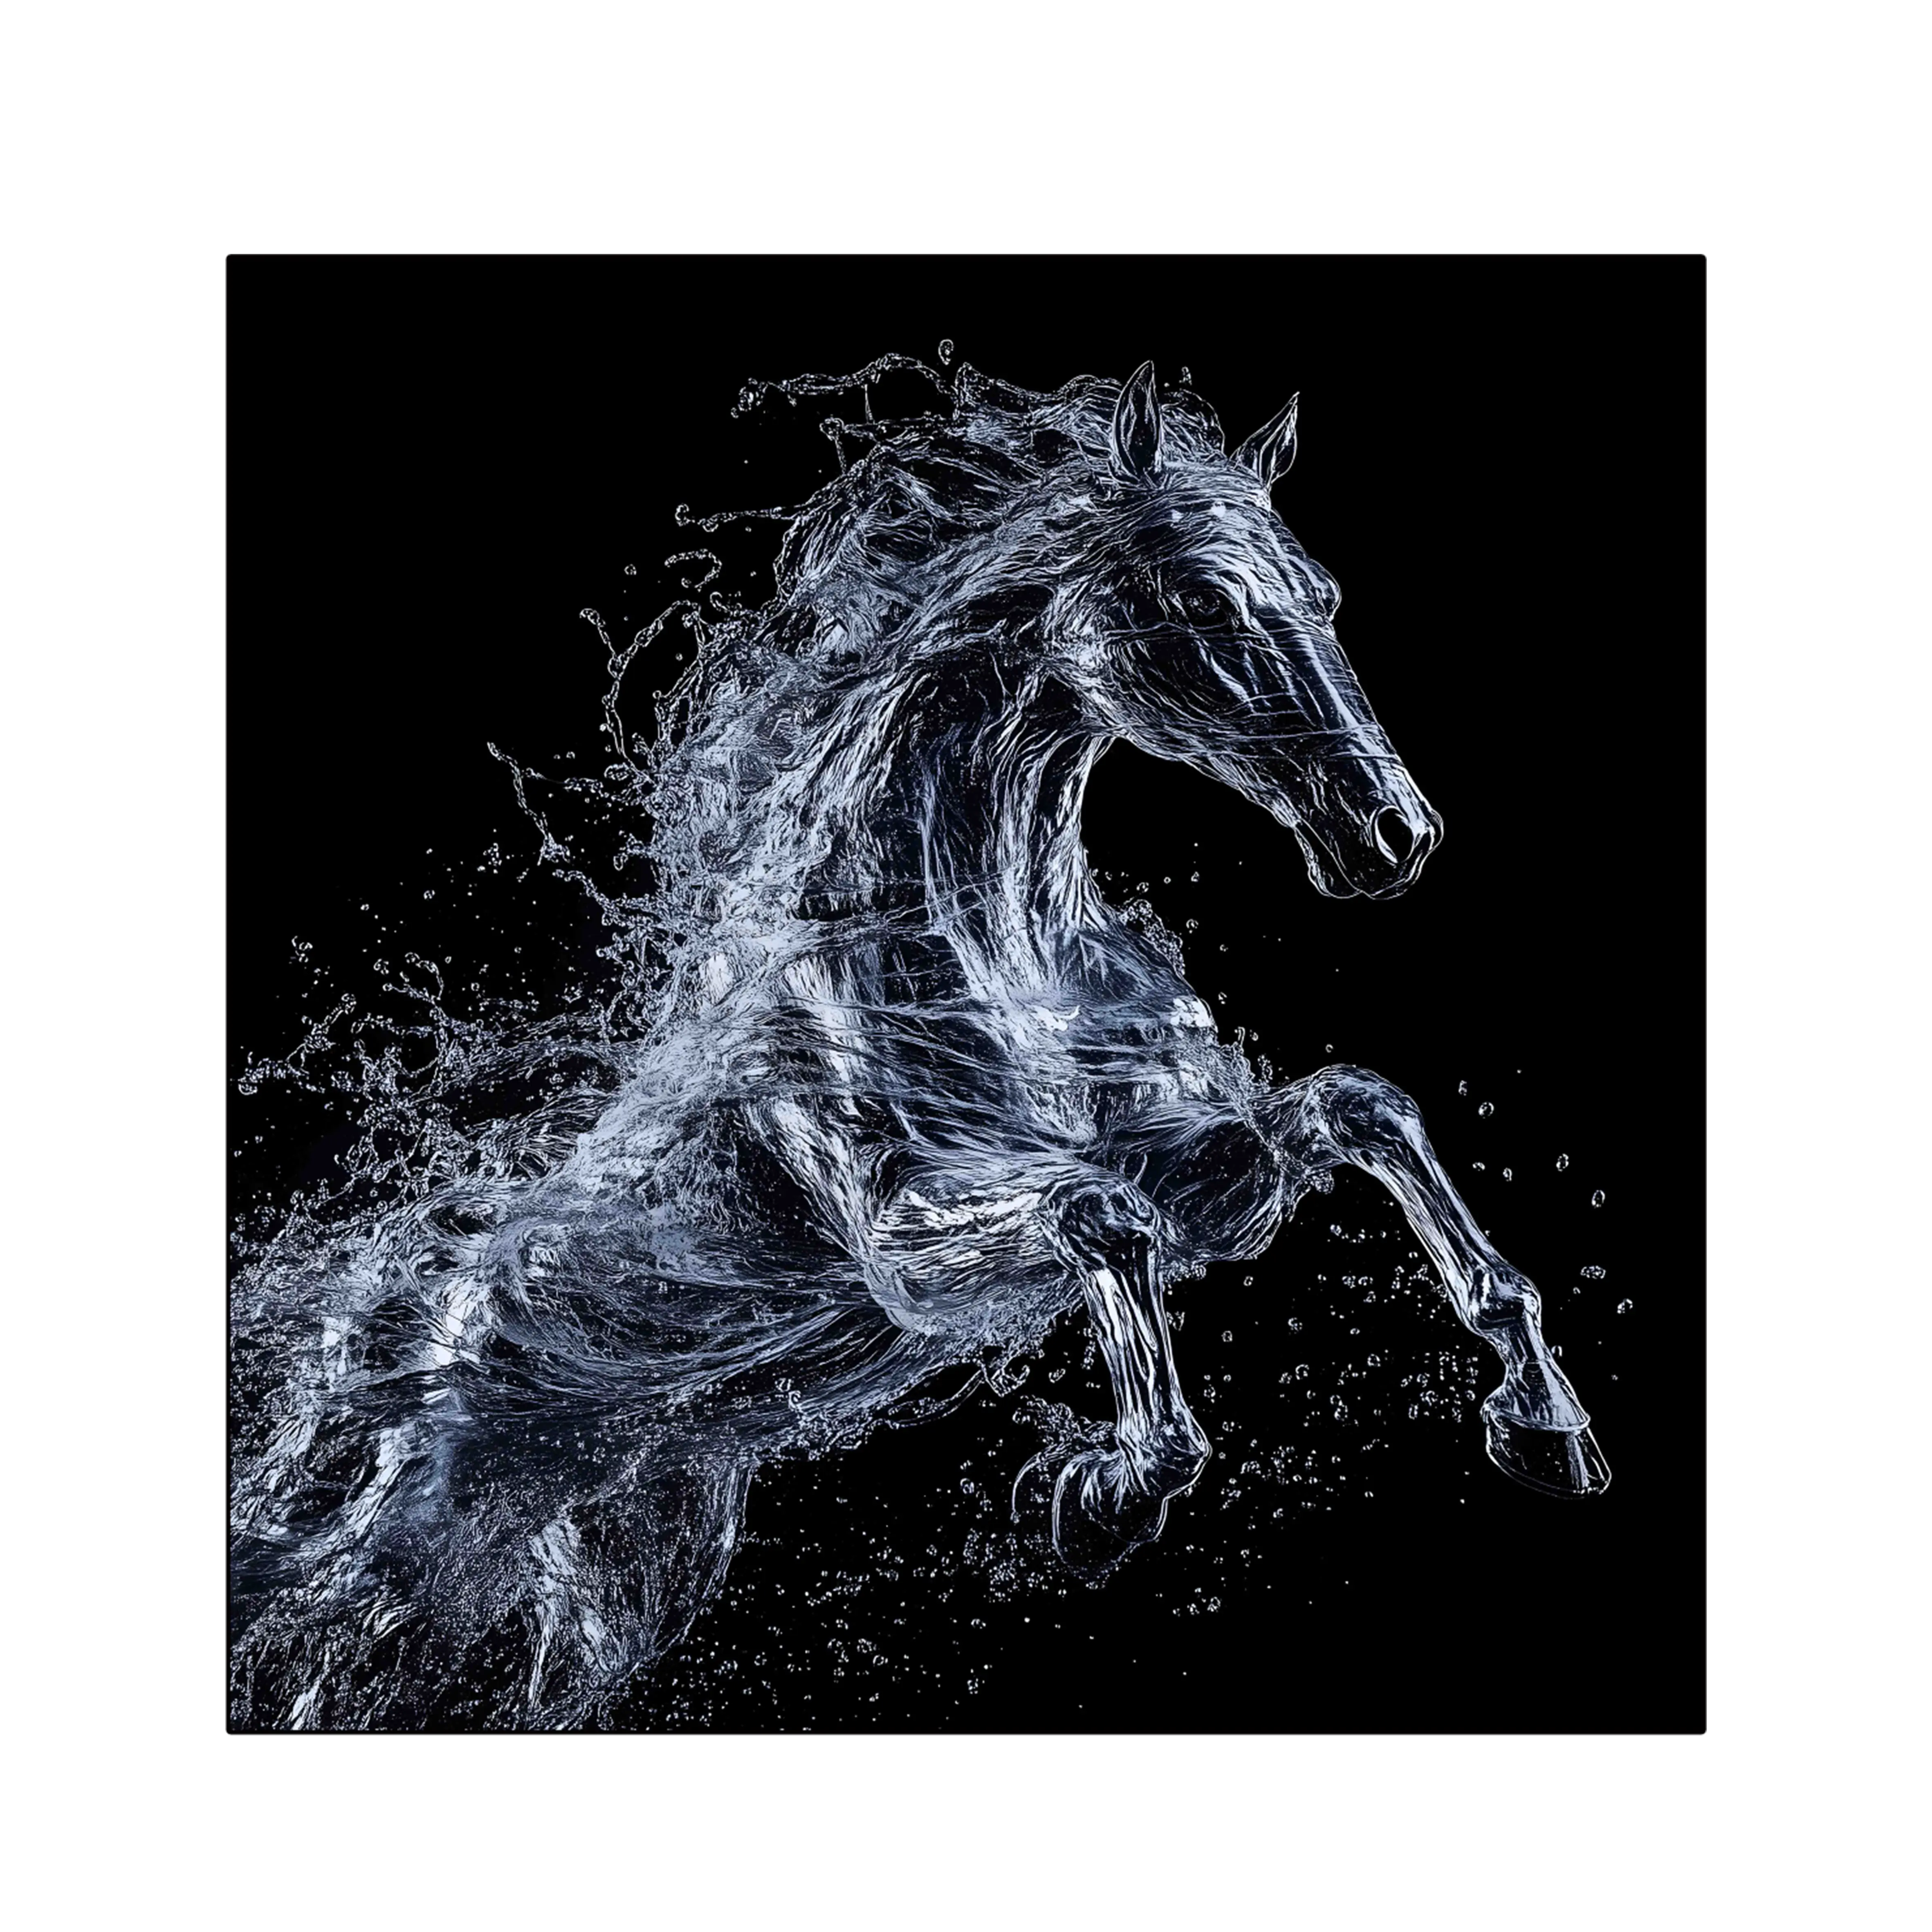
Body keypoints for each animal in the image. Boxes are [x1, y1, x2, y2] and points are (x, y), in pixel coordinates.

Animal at [228, 360, 1609, 1730]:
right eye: (1206, 597)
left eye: (1323, 592)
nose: (1393, 836)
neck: (984, 962)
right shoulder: (909, 1244)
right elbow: (1096, 1218)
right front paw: (1099, 1496)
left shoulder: (1208, 1171)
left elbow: (1362, 1107)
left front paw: (1544, 1423)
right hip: (398, 1550)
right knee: (307, 1656)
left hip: (611, 1568)